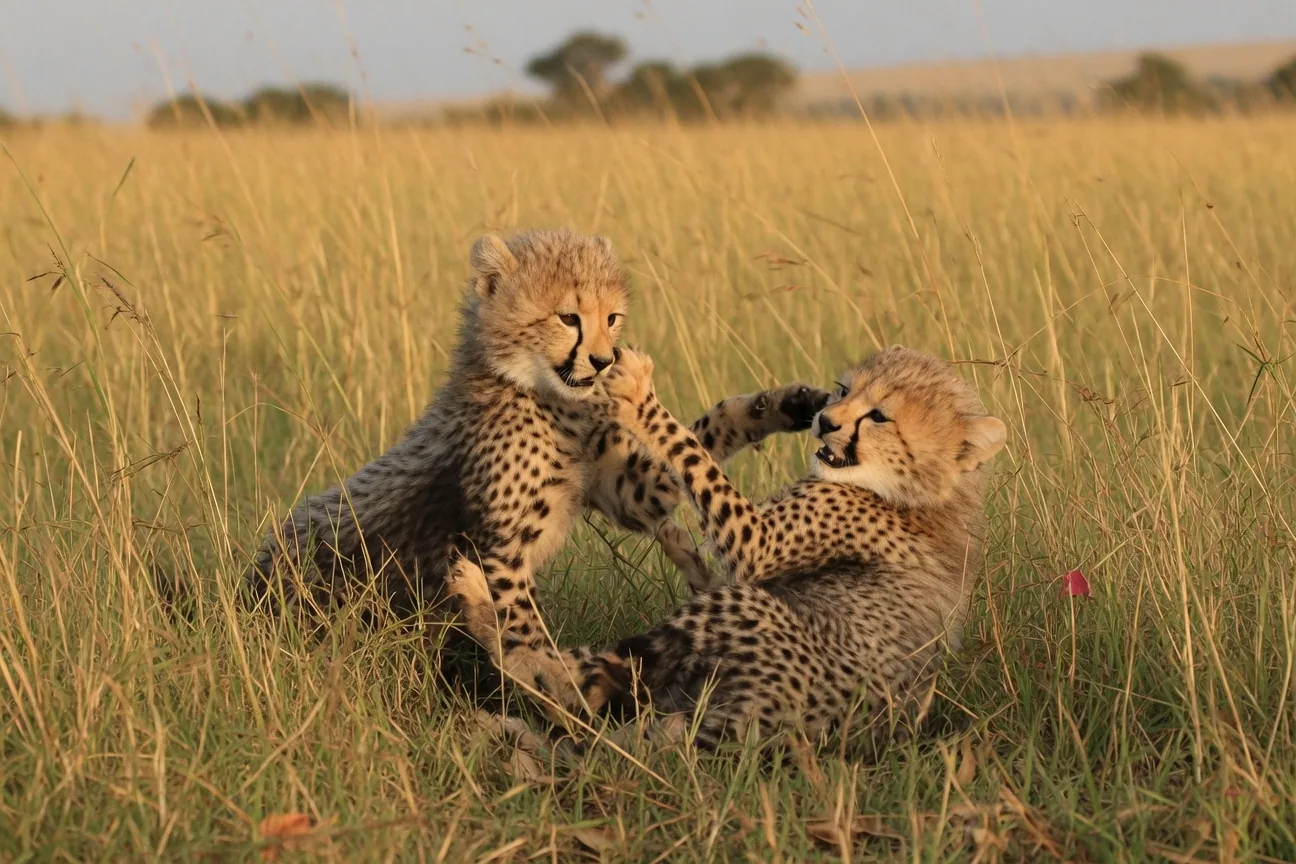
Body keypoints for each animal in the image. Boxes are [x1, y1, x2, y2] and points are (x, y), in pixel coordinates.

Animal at [243, 226, 828, 688]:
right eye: (568, 317)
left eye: (612, 317)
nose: (603, 360)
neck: (545, 396)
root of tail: (250, 575)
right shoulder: (502, 551)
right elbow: (528, 638)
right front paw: (559, 682)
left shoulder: (624, 488)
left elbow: (698, 436)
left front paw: (786, 403)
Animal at [447, 344, 1007, 750]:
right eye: (844, 389)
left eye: (880, 417)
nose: (826, 421)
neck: (926, 494)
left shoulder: (759, 545)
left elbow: (693, 457)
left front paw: (639, 396)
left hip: (732, 617)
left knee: (567, 687)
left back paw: (484, 607)